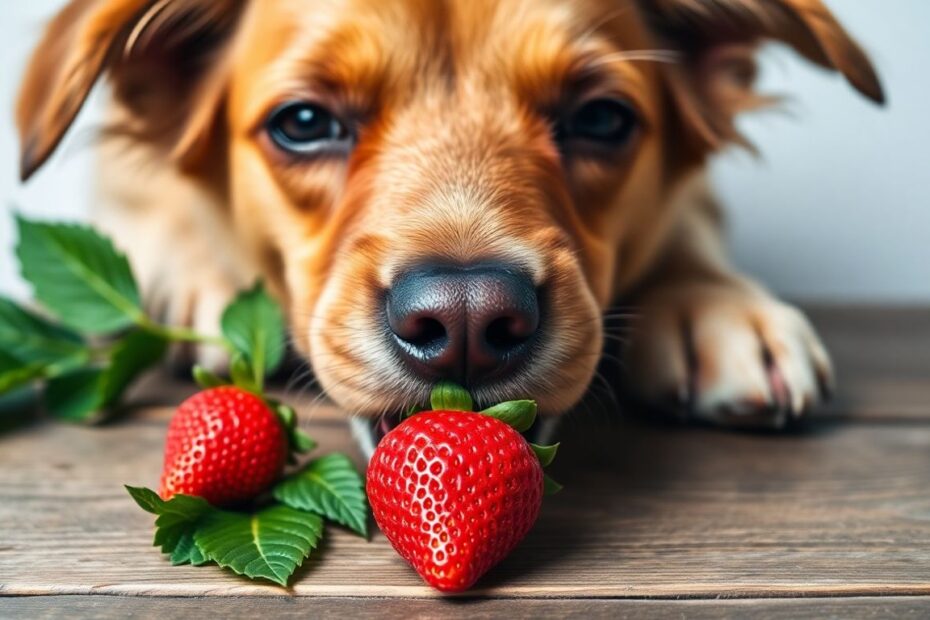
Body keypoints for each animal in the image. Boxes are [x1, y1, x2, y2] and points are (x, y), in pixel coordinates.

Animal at [18, 0, 880, 426]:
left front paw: (717, 307)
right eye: (304, 122)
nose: (468, 319)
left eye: (601, 118)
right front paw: (206, 282)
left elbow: (687, 224)